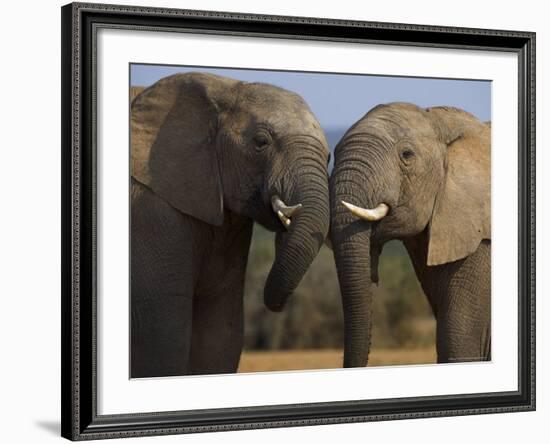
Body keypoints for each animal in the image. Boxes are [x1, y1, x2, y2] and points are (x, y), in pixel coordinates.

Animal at [132, 73, 330, 378]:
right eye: (261, 142)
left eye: (329, 156)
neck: (225, 86)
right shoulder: (151, 211)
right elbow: (164, 335)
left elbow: (221, 332)